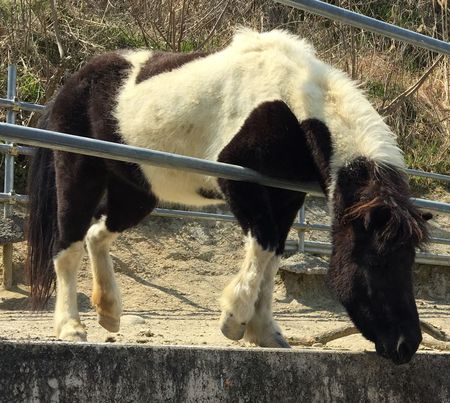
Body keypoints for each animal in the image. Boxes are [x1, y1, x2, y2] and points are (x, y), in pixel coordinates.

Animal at [27, 30, 428, 366]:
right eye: (376, 262)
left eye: (409, 261)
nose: (406, 345)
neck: (290, 103)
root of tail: (69, 85)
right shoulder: (239, 182)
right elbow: (263, 245)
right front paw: (234, 320)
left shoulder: (286, 196)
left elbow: (273, 257)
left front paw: (265, 332)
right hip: (79, 172)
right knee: (68, 246)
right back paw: (71, 327)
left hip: (136, 192)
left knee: (97, 235)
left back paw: (109, 313)